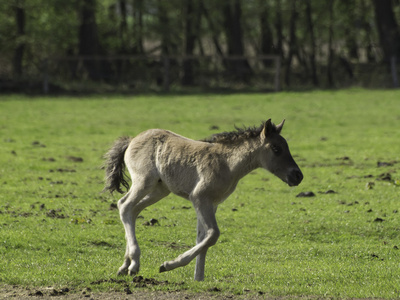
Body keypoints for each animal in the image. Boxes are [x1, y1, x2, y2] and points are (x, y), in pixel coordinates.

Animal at [103, 119, 304, 282]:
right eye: (276, 149)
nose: (298, 176)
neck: (227, 163)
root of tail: (132, 140)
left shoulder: (211, 203)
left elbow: (203, 238)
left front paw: (198, 278)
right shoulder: (199, 198)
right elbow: (213, 234)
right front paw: (169, 264)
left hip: (160, 190)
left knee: (133, 210)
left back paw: (125, 265)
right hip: (144, 181)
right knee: (124, 205)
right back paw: (134, 264)